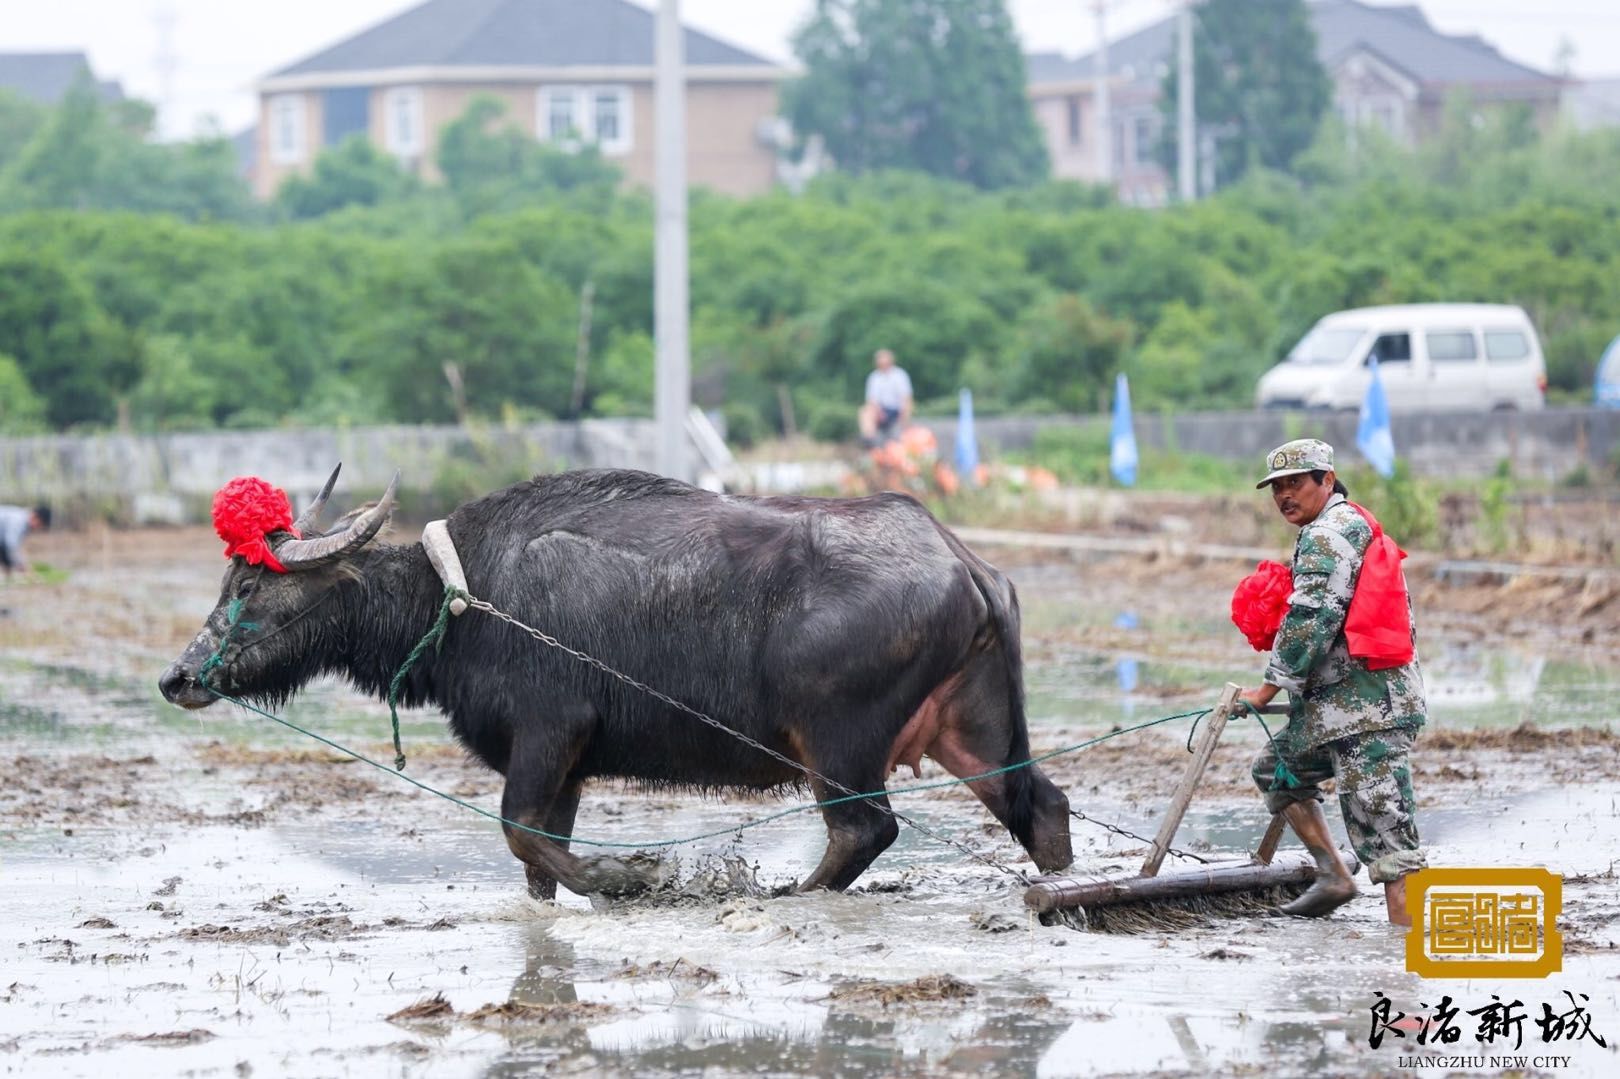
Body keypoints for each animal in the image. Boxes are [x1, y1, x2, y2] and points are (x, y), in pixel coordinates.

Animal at [161, 466, 1075, 894]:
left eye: (249, 587)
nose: (178, 676)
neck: (465, 595)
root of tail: (963, 561)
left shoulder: (549, 731)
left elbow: (520, 833)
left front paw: (631, 877)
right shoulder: (563, 762)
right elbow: (537, 858)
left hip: (838, 743)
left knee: (864, 830)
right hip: (973, 732)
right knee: (1041, 806)